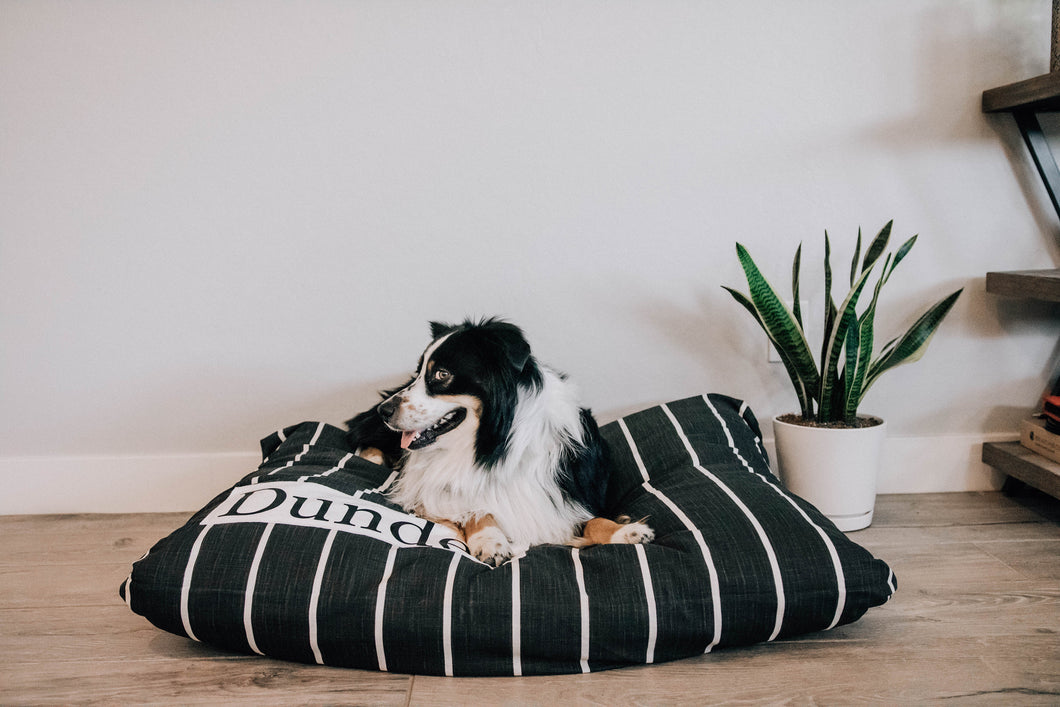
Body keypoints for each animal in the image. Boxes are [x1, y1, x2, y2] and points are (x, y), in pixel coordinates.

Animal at [343, 317, 648, 568]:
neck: (492, 447)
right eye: (419, 373)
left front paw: (625, 531)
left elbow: (592, 519)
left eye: (442, 374)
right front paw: (490, 540)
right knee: (361, 433)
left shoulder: (567, 495)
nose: (384, 411)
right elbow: (476, 509)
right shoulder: (436, 491)